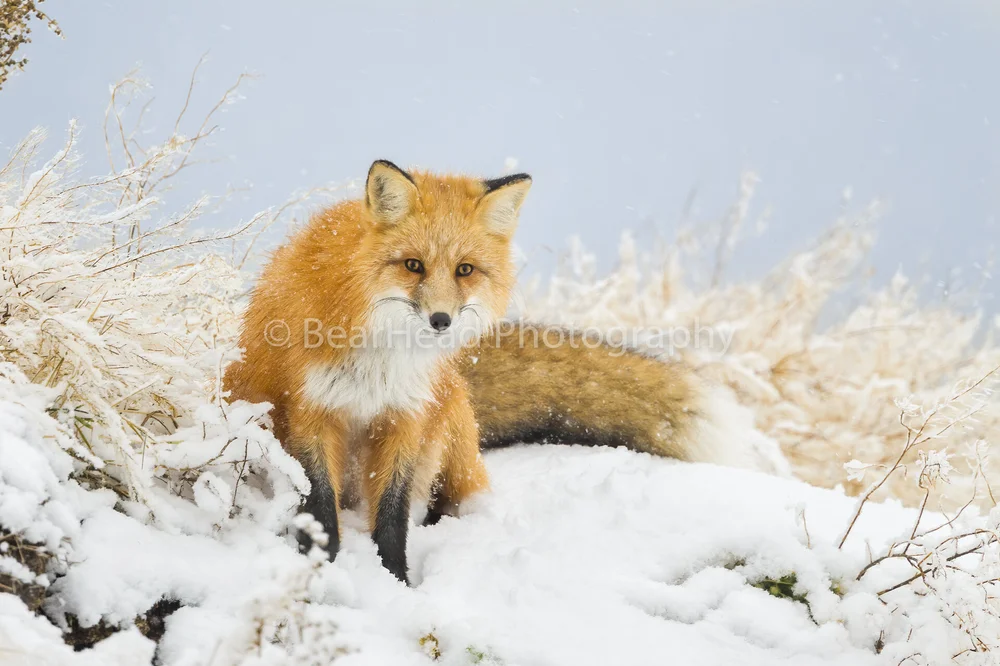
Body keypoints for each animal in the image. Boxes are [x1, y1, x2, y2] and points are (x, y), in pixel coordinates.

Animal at [225, 159, 785, 585]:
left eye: (465, 270)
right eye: (412, 265)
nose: (441, 320)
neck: (383, 356)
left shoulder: (405, 418)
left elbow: (391, 517)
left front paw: (396, 583)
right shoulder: (311, 413)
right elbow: (319, 509)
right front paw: (320, 568)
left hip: (448, 418)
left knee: (450, 499)